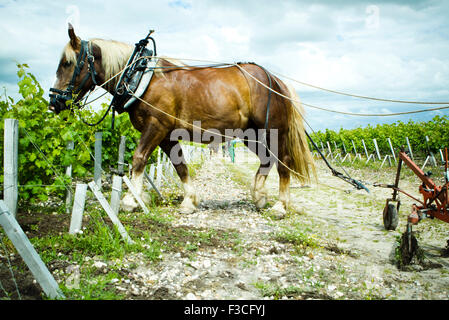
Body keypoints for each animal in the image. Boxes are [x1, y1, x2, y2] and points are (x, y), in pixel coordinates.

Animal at [49, 24, 316, 215]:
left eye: (67, 63)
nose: (54, 102)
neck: (140, 78)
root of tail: (276, 80)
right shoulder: (165, 135)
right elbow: (180, 166)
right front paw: (189, 201)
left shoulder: (156, 126)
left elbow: (138, 158)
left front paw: (131, 200)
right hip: (251, 135)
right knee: (266, 160)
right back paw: (259, 196)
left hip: (272, 131)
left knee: (283, 161)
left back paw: (280, 205)